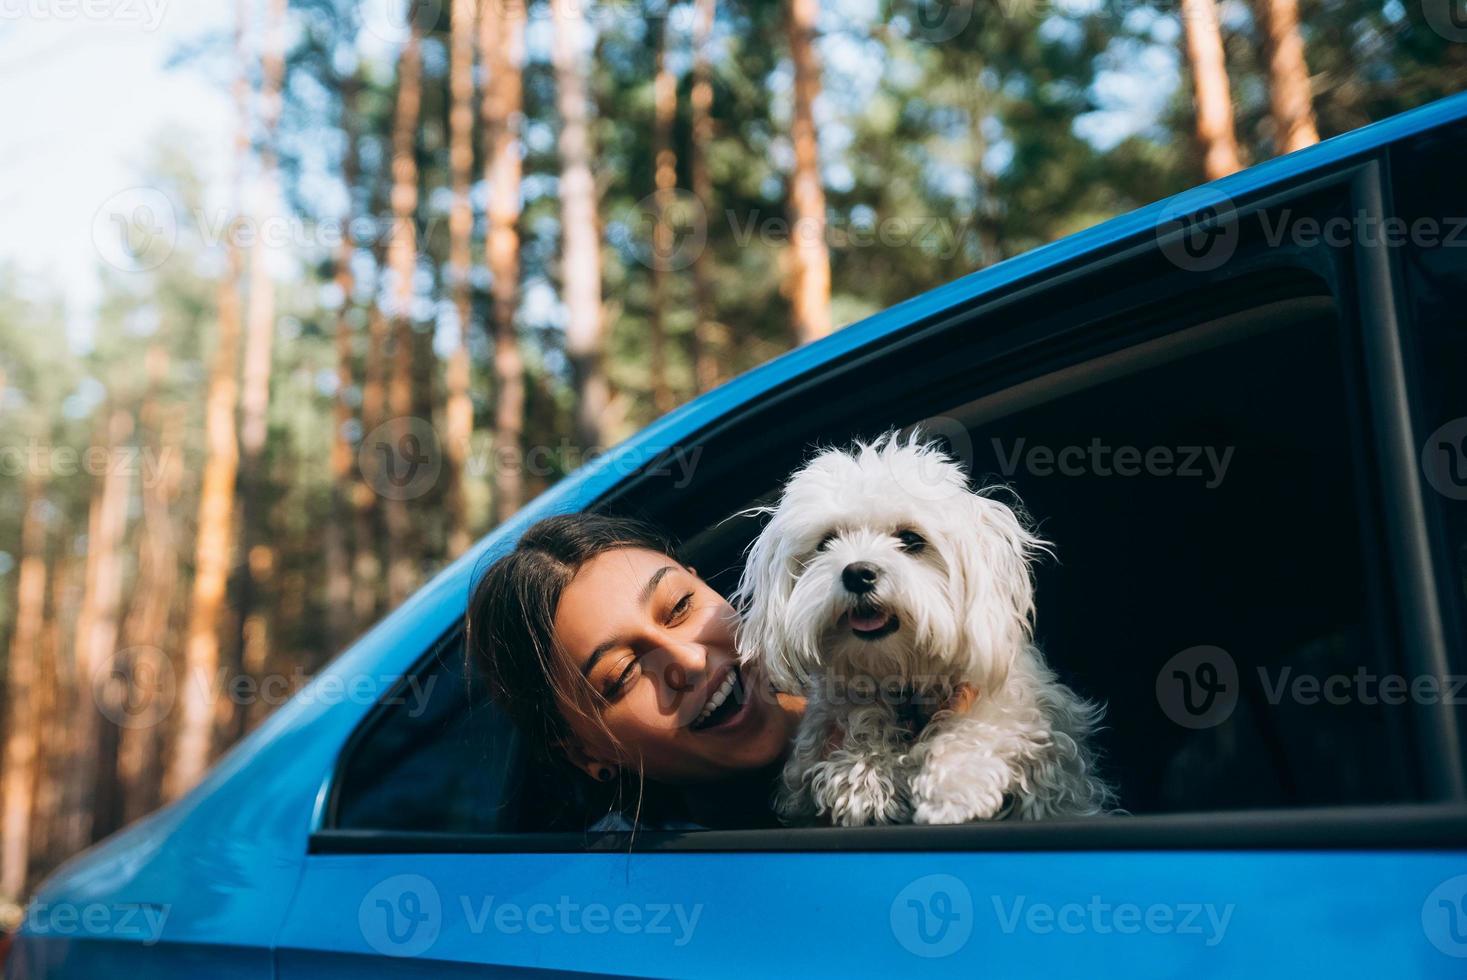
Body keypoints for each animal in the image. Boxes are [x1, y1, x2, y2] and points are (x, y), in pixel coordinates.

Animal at [733, 431, 1109, 821]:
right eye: (826, 542)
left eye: (911, 539)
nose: (857, 573)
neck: (904, 675)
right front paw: (862, 771)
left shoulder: (1034, 720)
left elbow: (995, 718)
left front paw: (955, 781)